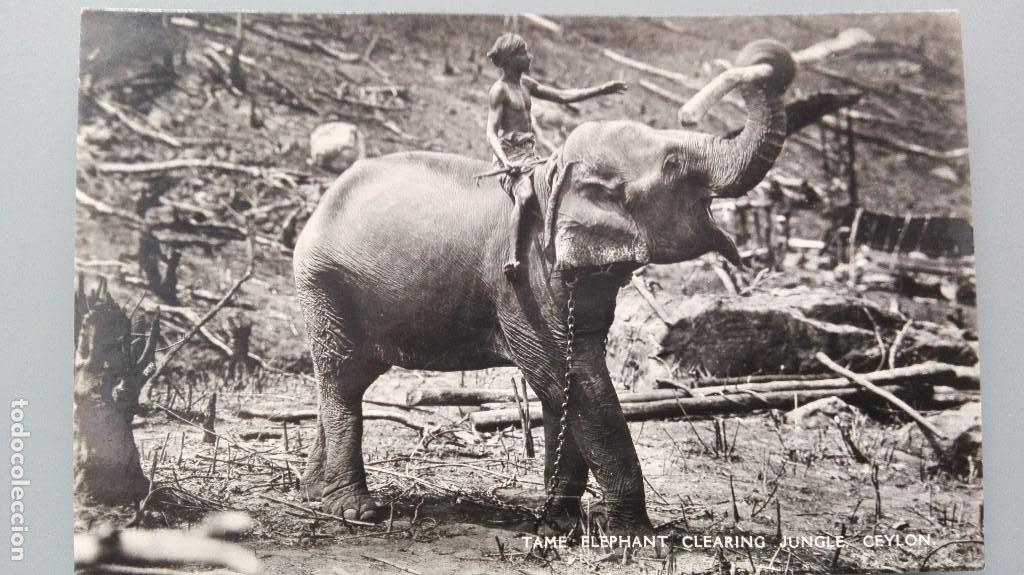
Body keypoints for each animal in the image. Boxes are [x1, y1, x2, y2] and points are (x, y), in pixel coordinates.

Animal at [292, 39, 796, 535]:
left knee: (352, 376)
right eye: (674, 166)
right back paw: (356, 511)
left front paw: (559, 526)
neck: (553, 174)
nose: (691, 110)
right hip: (324, 281)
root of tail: (323, 201)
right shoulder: (526, 285)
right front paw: (631, 535)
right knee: (341, 377)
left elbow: (566, 388)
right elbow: (567, 378)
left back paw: (315, 494)